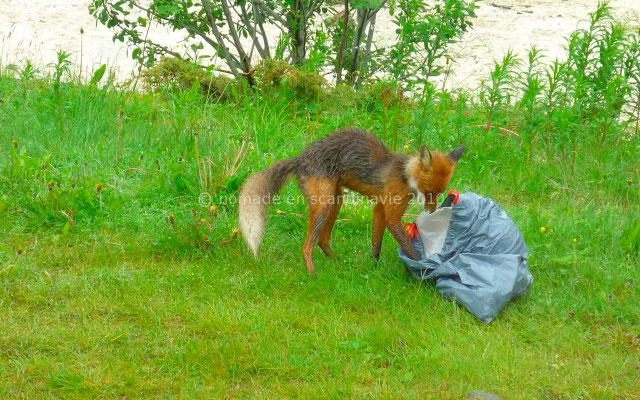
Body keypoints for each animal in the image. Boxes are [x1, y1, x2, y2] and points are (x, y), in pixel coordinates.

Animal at [238, 128, 465, 273]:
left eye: (439, 193)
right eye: (428, 192)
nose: (431, 212)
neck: (404, 175)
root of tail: (300, 157)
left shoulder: (379, 208)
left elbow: (376, 244)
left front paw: (374, 266)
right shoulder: (392, 215)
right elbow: (410, 248)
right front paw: (426, 268)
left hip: (336, 201)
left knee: (322, 241)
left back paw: (338, 262)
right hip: (324, 204)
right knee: (307, 246)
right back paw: (312, 273)